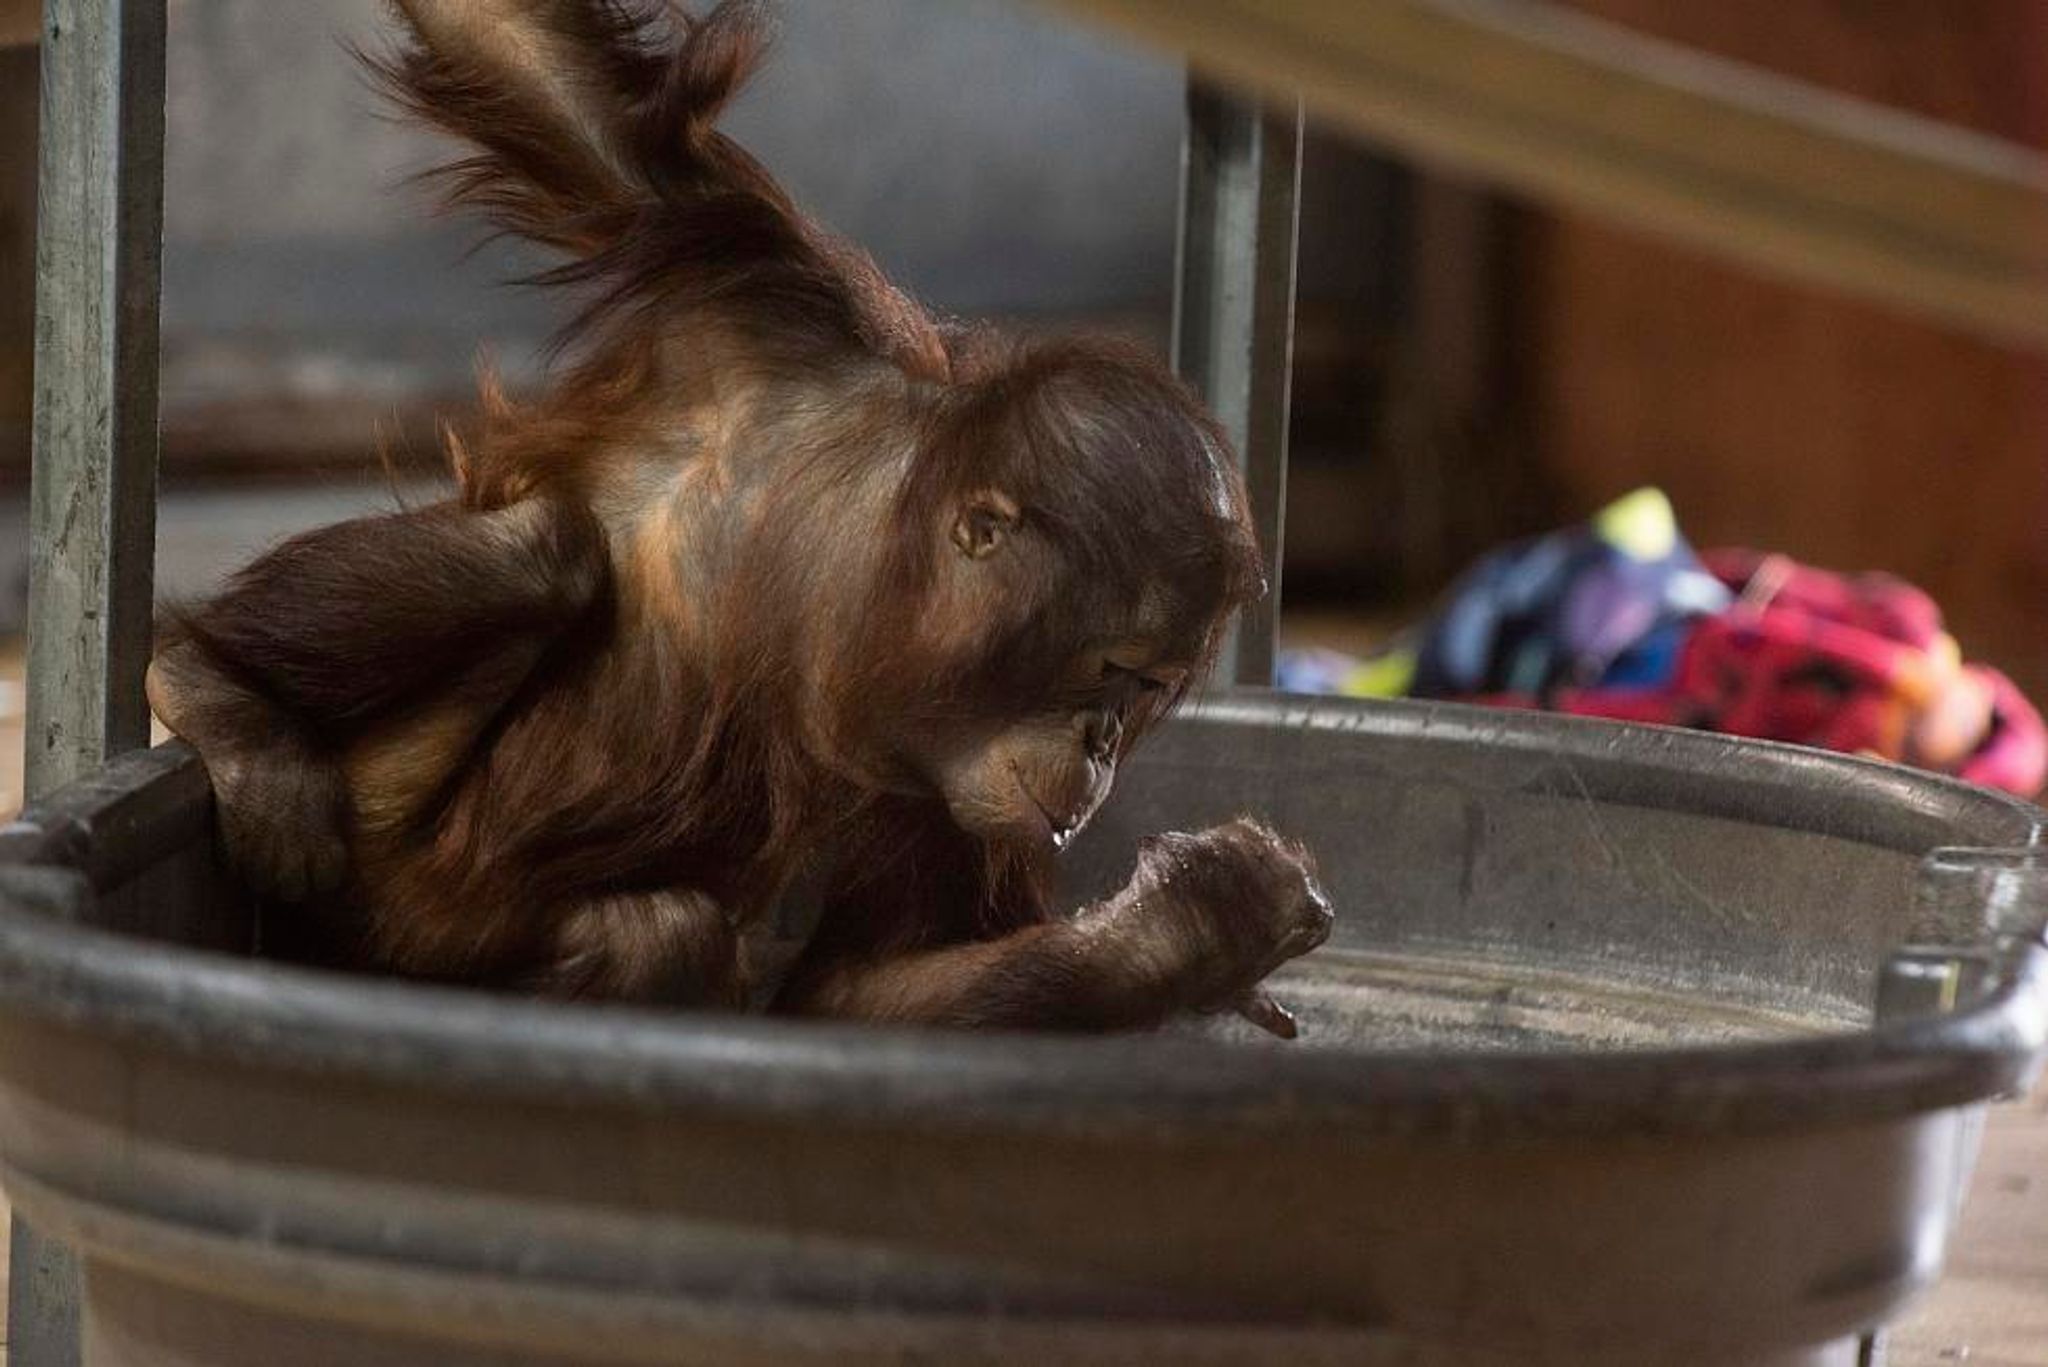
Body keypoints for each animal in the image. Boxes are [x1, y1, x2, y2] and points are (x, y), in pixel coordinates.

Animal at [145, 0, 1333, 1035]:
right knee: (546, 553)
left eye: (1147, 694)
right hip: (365, 809)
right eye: (1113, 671)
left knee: (656, 935)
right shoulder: (757, 290)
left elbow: (859, 991)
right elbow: (547, 76)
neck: (853, 566)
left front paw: (1195, 930)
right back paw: (210, 687)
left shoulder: (937, 791)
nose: (1100, 744)